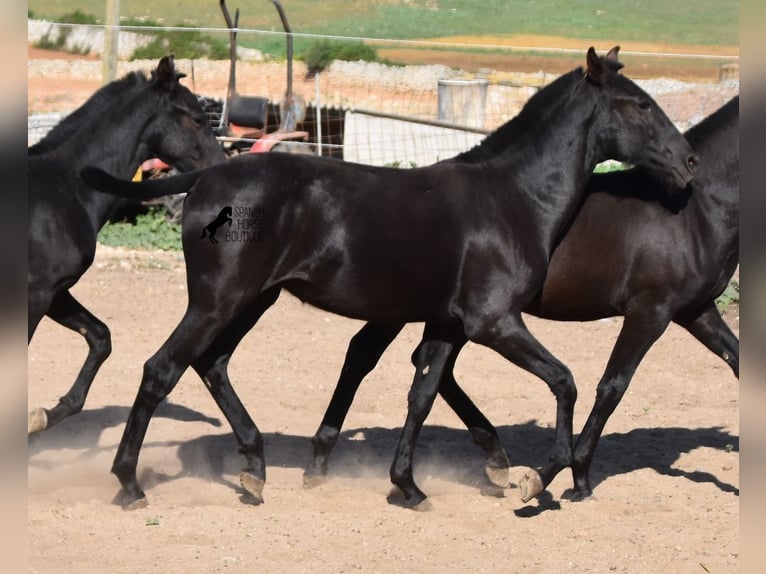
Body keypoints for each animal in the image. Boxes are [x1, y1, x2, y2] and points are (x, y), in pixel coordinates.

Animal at [28, 56, 226, 436]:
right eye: (197, 118)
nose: (223, 169)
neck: (66, 188)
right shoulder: (37, 293)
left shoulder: (55, 292)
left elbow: (100, 337)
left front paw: (45, 415)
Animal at [81, 47, 700, 510]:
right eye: (638, 106)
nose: (688, 163)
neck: (512, 199)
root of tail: (205, 177)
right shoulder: (494, 322)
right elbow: (565, 380)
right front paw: (536, 477)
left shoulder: (448, 324)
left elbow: (422, 395)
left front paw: (408, 485)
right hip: (218, 299)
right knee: (162, 368)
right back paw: (130, 483)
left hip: (253, 299)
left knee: (211, 364)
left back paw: (255, 469)